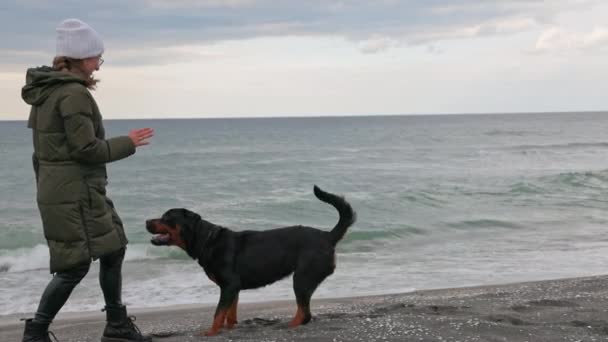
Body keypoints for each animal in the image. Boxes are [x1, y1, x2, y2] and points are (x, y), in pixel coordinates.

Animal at [146, 186, 356, 336]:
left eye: (166, 218)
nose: (146, 221)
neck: (206, 240)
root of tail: (327, 236)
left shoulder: (229, 285)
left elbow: (217, 313)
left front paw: (210, 332)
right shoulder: (233, 289)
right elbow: (229, 314)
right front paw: (228, 329)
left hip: (302, 278)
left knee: (304, 312)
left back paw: (288, 326)